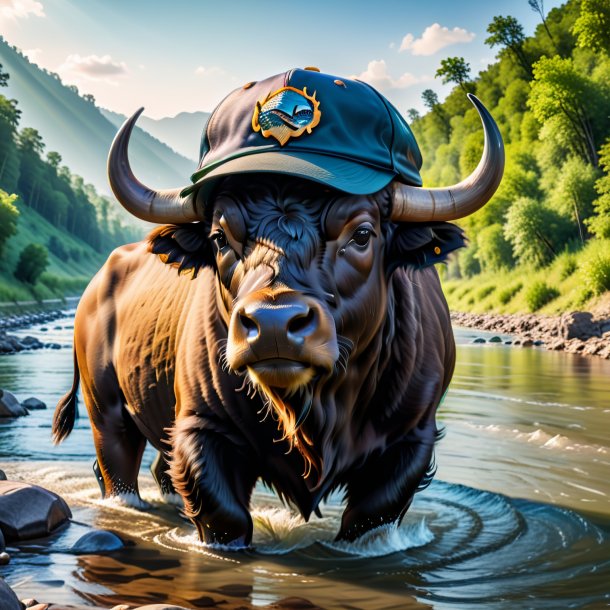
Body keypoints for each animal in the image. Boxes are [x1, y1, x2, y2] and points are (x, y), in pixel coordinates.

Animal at [52, 69, 502, 544]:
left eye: (362, 234)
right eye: (220, 237)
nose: (272, 324)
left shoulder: (410, 440)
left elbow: (370, 517)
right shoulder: (200, 429)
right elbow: (225, 516)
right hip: (107, 412)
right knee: (117, 470)